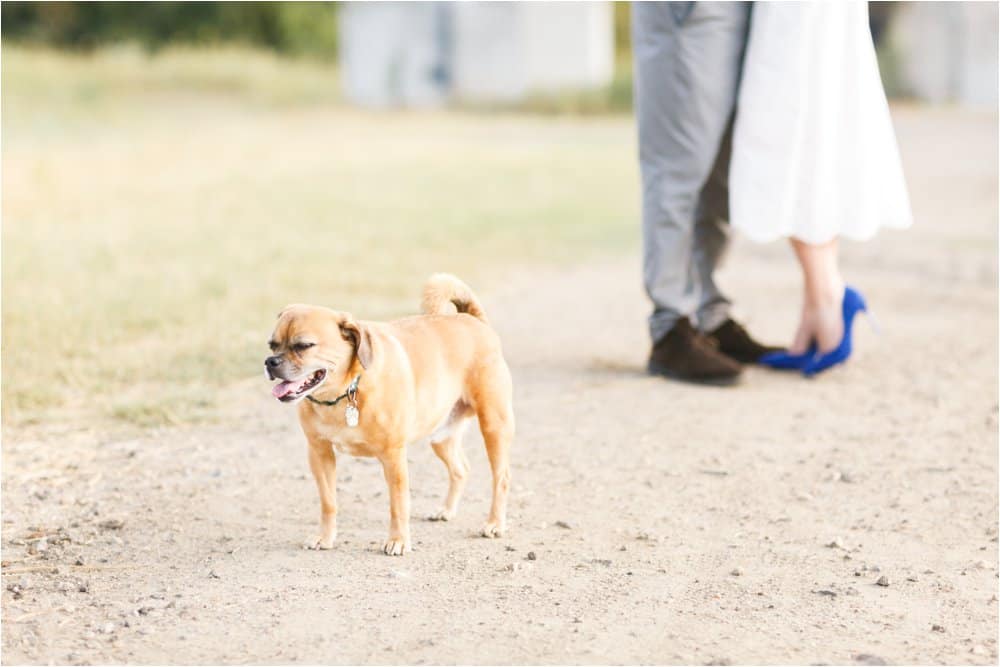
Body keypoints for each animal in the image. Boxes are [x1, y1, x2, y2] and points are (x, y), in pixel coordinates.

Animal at [266, 274, 516, 556]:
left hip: (494, 426)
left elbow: (398, 504)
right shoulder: (320, 454)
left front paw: (398, 540)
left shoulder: (393, 456)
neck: (347, 391)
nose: (270, 362)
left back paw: (494, 524)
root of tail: (474, 320)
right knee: (461, 469)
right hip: (441, 438)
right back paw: (446, 510)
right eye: (272, 345)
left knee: (501, 478)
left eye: (303, 346)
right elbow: (328, 502)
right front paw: (325, 537)